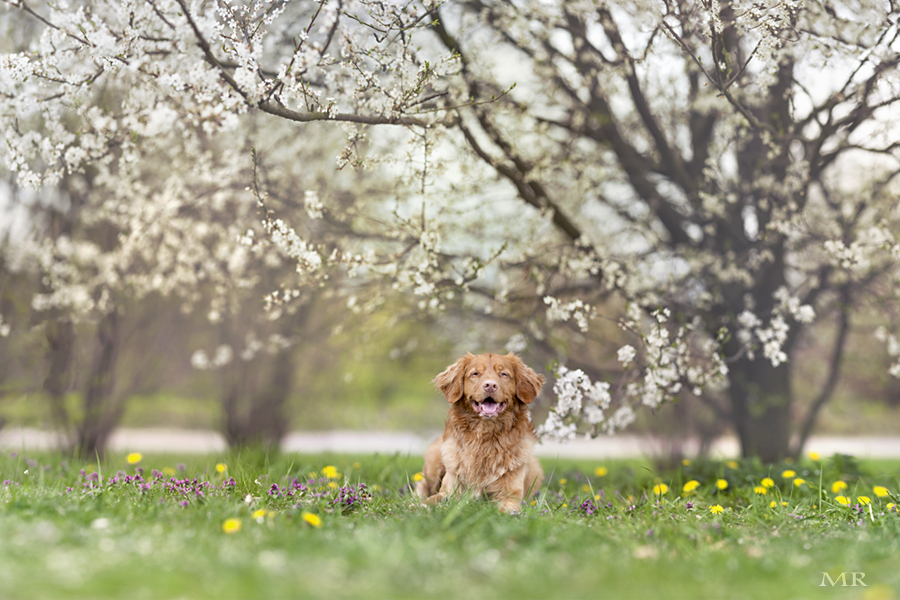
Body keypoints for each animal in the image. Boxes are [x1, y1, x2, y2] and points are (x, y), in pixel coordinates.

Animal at [416, 354, 548, 512]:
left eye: (504, 374)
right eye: (475, 373)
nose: (490, 385)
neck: (484, 439)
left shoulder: (510, 495)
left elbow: (508, 509)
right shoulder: (450, 490)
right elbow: (432, 500)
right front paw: (419, 507)